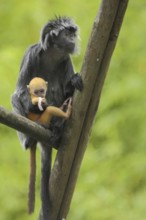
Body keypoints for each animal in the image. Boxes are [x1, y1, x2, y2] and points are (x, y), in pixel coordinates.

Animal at [26, 76, 72, 214]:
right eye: (36, 92)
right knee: (49, 110)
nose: (41, 95)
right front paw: (40, 103)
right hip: (43, 120)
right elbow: (38, 106)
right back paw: (65, 114)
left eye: (42, 90)